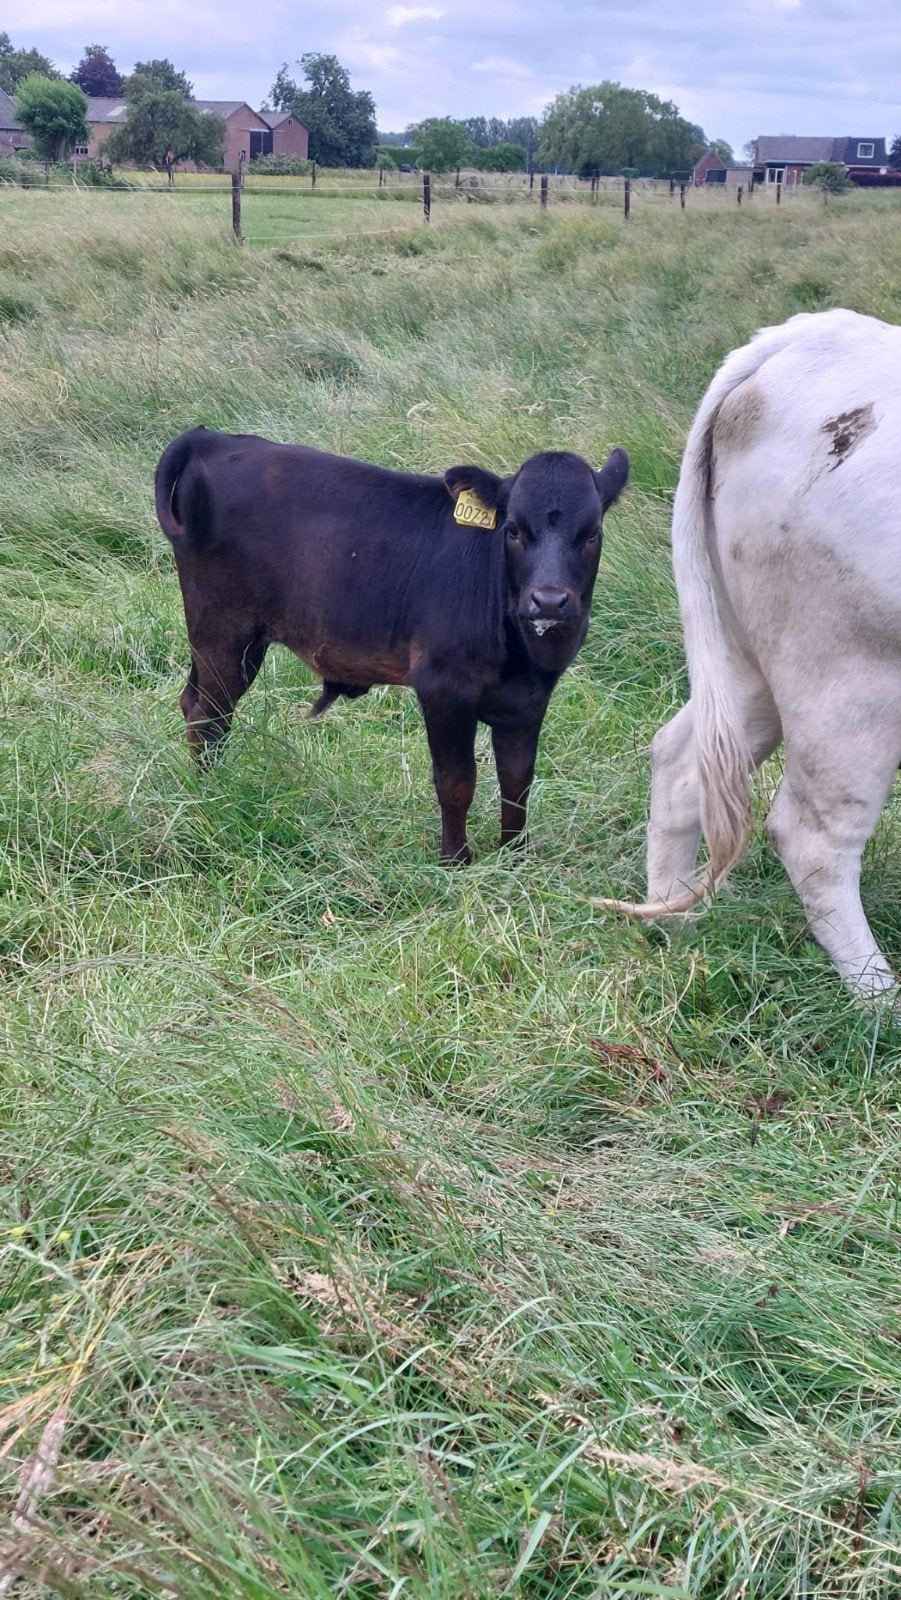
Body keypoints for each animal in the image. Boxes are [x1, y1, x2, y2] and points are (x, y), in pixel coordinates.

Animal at [155, 428, 628, 862]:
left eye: (592, 533)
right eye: (512, 529)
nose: (548, 599)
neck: (523, 656)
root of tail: (209, 437)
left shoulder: (530, 699)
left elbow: (517, 781)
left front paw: (514, 856)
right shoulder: (443, 687)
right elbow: (456, 781)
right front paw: (456, 859)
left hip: (232, 640)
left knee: (195, 704)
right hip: (223, 631)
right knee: (207, 718)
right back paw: (210, 796)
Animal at [594, 309, 901, 998]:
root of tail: (810, 335)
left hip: (747, 653)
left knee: (682, 759)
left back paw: (674, 922)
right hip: (852, 672)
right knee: (812, 836)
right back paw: (878, 1001)